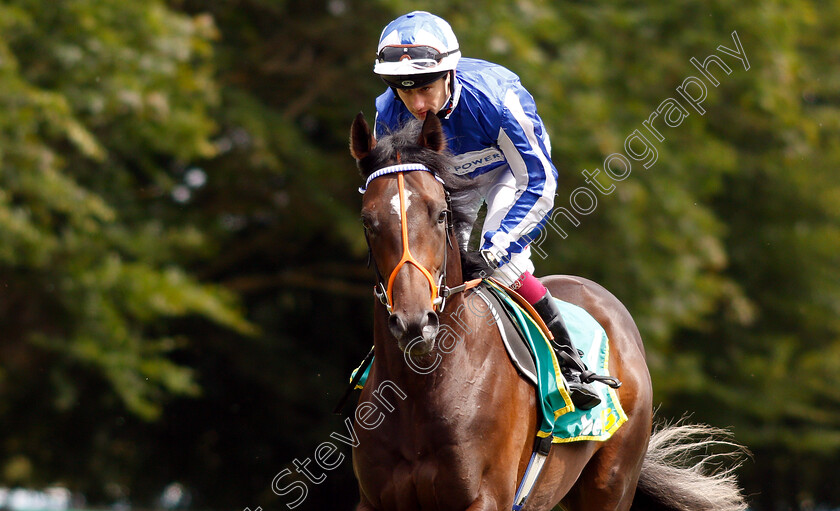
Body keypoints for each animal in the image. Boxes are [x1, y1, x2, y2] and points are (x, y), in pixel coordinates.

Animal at [348, 112, 748, 511]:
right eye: (368, 221)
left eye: (441, 214)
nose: (415, 323)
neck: (423, 388)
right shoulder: (372, 500)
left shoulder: (486, 496)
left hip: (612, 485)